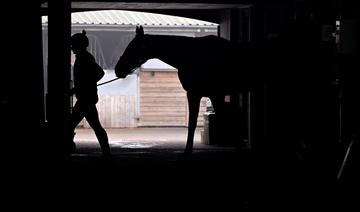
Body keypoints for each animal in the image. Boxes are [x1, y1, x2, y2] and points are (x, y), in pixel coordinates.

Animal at [116, 25, 260, 157]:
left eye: (132, 47)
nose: (118, 69)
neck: (191, 55)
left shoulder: (201, 94)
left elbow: (197, 123)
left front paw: (187, 152)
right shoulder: (211, 95)